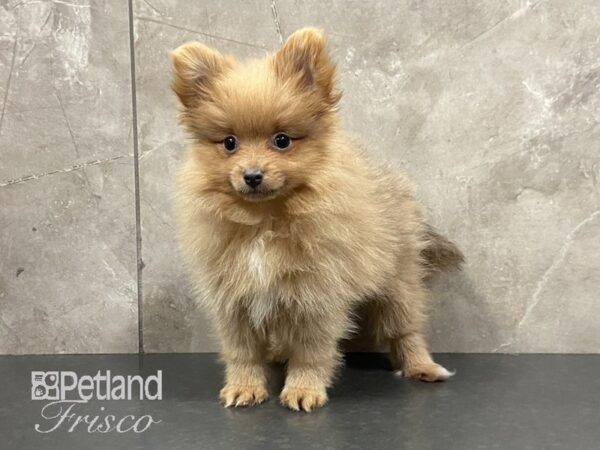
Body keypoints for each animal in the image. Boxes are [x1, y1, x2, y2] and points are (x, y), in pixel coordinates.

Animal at [171, 26, 462, 410]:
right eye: (229, 143)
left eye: (282, 140)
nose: (252, 175)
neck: (266, 222)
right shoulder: (235, 300)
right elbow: (242, 352)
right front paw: (245, 387)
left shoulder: (317, 296)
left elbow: (310, 352)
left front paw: (303, 390)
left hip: (398, 282)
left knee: (406, 329)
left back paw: (422, 367)